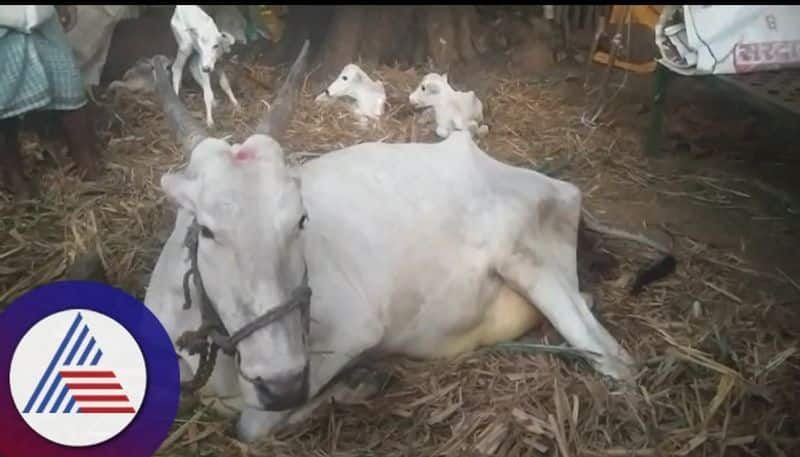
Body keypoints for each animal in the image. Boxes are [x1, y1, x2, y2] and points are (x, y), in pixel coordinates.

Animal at [142, 42, 676, 442]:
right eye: (205, 228)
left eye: (300, 219)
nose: (282, 382)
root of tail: (562, 187)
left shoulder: (353, 333)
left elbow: (251, 426)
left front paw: (357, 384)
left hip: (534, 266)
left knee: (616, 360)